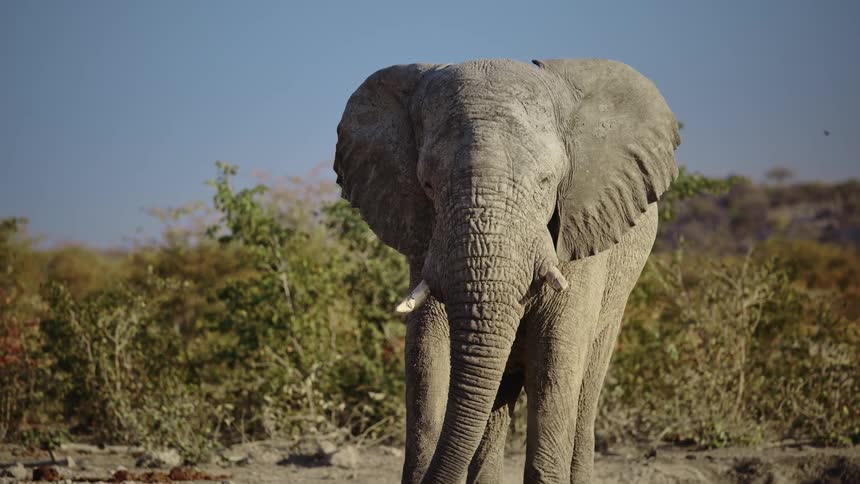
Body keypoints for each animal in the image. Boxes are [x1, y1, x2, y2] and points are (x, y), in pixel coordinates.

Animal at [333, 58, 680, 483]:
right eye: (428, 184)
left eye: (547, 182)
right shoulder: (425, 235)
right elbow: (426, 355)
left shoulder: (582, 229)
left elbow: (556, 356)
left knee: (585, 388)